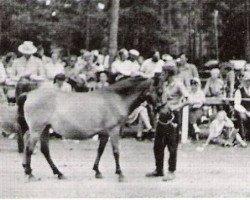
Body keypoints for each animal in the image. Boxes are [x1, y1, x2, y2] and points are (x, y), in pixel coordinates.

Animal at [18, 77, 161, 183]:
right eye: (158, 90)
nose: (160, 107)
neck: (115, 99)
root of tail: (29, 95)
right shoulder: (114, 130)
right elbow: (116, 152)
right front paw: (120, 174)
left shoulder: (105, 133)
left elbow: (100, 150)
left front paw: (97, 171)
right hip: (37, 129)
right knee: (30, 148)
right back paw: (30, 174)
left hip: (44, 129)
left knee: (43, 150)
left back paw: (57, 173)